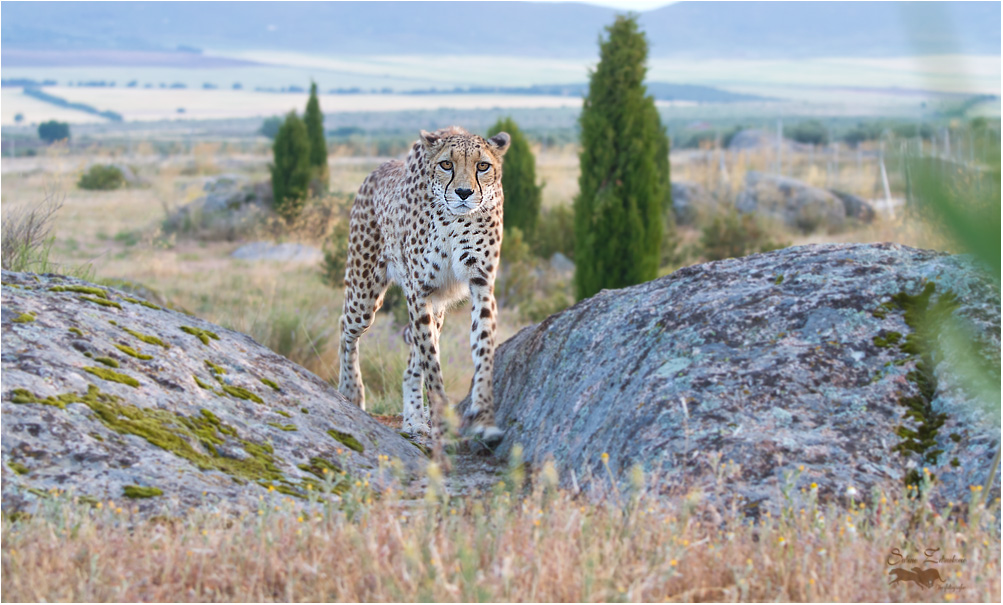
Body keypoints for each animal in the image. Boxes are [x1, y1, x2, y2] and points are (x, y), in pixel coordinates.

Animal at [339, 126, 509, 449]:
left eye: (483, 165)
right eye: (446, 164)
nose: (464, 193)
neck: (455, 219)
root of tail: (381, 167)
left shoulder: (481, 283)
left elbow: (482, 350)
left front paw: (484, 419)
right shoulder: (419, 290)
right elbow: (431, 364)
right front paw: (443, 426)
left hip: (437, 306)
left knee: (411, 364)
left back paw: (414, 421)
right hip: (364, 292)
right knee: (346, 328)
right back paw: (350, 391)